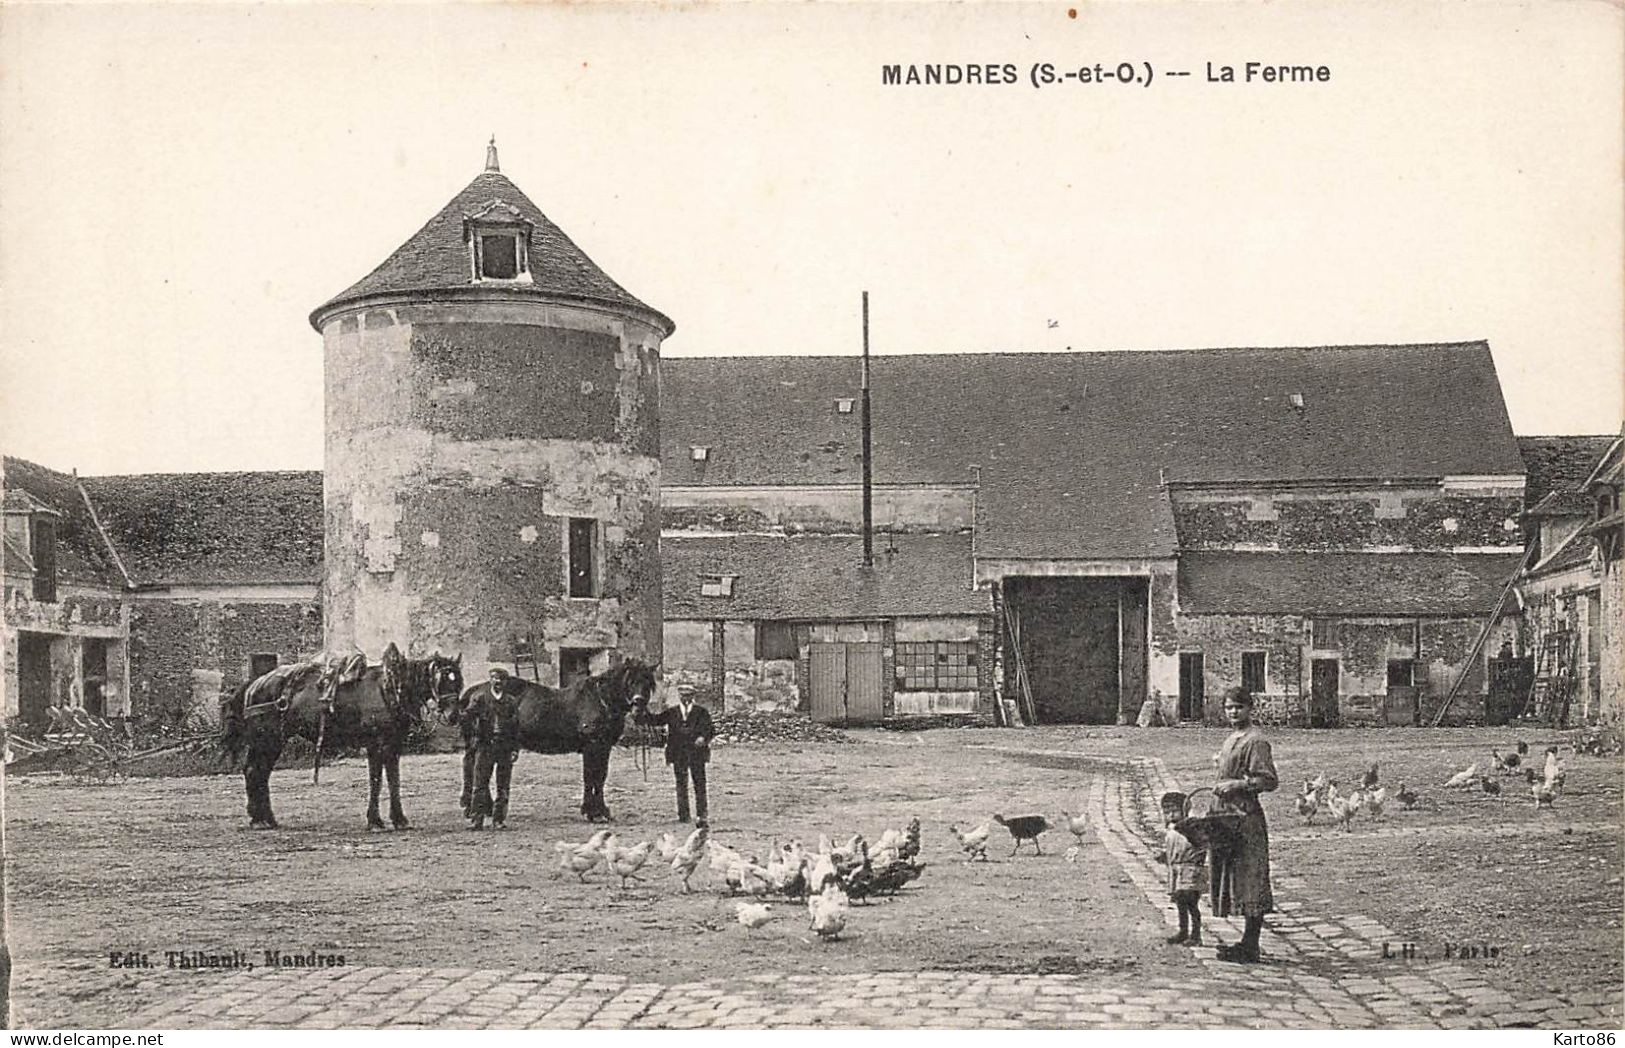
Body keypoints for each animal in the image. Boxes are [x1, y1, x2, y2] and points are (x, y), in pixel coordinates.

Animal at [219, 640, 468, 828]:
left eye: (458, 681)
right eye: (441, 680)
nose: (453, 715)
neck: (389, 688)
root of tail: (255, 683)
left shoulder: (393, 744)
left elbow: (393, 780)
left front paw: (398, 819)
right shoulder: (377, 744)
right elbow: (377, 780)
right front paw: (376, 821)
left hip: (272, 741)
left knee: (258, 773)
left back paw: (265, 818)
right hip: (267, 740)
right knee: (255, 772)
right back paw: (260, 819)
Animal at [445, 662, 659, 825]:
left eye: (648, 682)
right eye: (630, 681)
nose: (639, 706)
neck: (600, 700)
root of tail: (472, 692)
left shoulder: (603, 748)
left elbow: (600, 778)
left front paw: (599, 811)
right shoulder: (592, 747)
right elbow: (591, 778)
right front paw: (593, 812)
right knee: (472, 767)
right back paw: (475, 808)